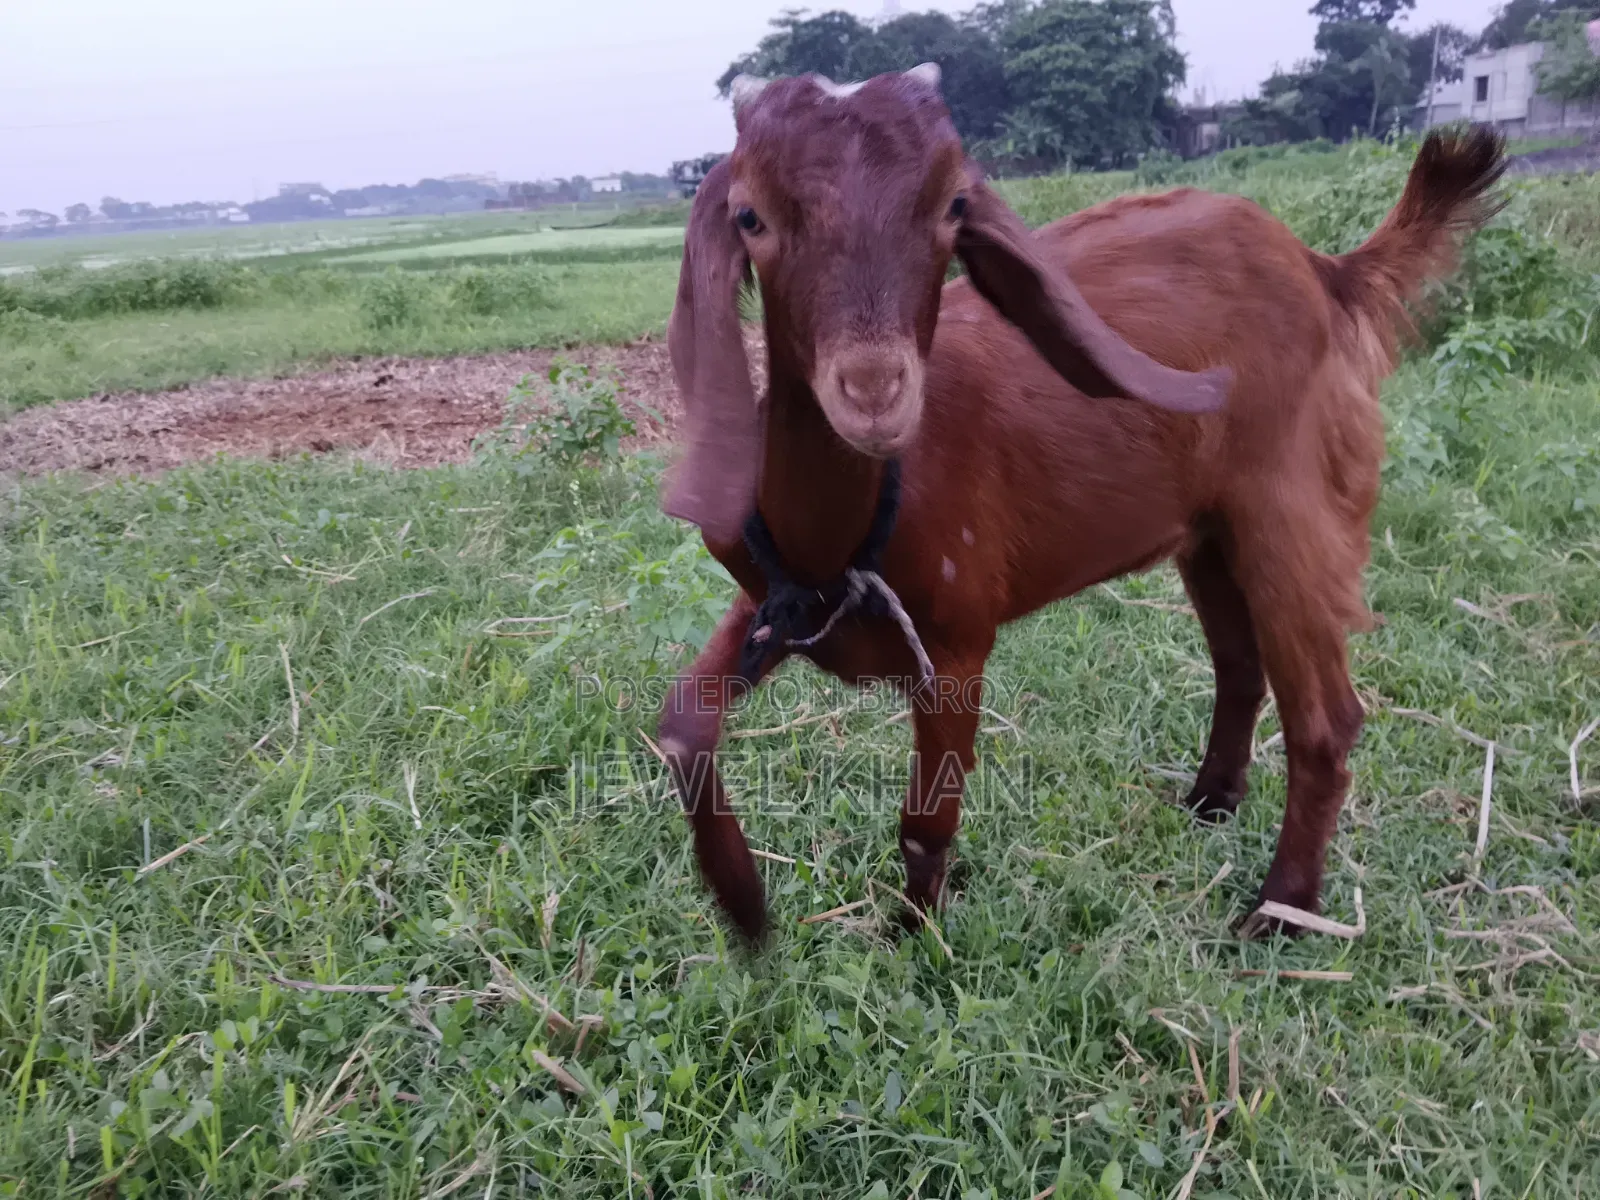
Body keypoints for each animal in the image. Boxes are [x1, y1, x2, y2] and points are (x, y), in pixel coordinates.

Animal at [657, 63, 1505, 944]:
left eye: (953, 207)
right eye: (750, 215)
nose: (875, 392)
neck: (844, 533)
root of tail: (1324, 268)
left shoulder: (957, 643)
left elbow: (927, 821)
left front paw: (911, 935)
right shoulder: (773, 604)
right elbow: (680, 726)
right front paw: (744, 904)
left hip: (1289, 511)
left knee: (1326, 718)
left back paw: (1282, 911)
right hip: (1209, 534)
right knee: (1239, 667)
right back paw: (1210, 801)